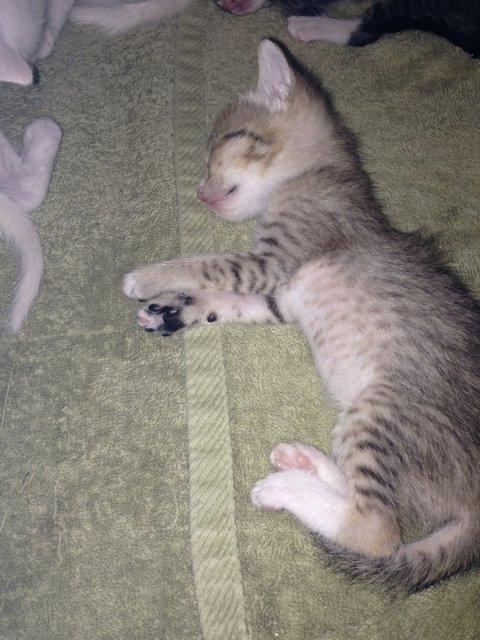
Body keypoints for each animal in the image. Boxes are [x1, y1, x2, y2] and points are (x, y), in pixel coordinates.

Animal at [123, 39, 480, 590]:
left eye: (219, 144)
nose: (200, 192)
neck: (318, 172)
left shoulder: (273, 262)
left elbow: (207, 264)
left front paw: (148, 276)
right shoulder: (279, 297)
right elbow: (222, 300)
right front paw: (173, 311)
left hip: (381, 408)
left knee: (376, 529)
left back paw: (286, 489)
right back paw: (304, 463)